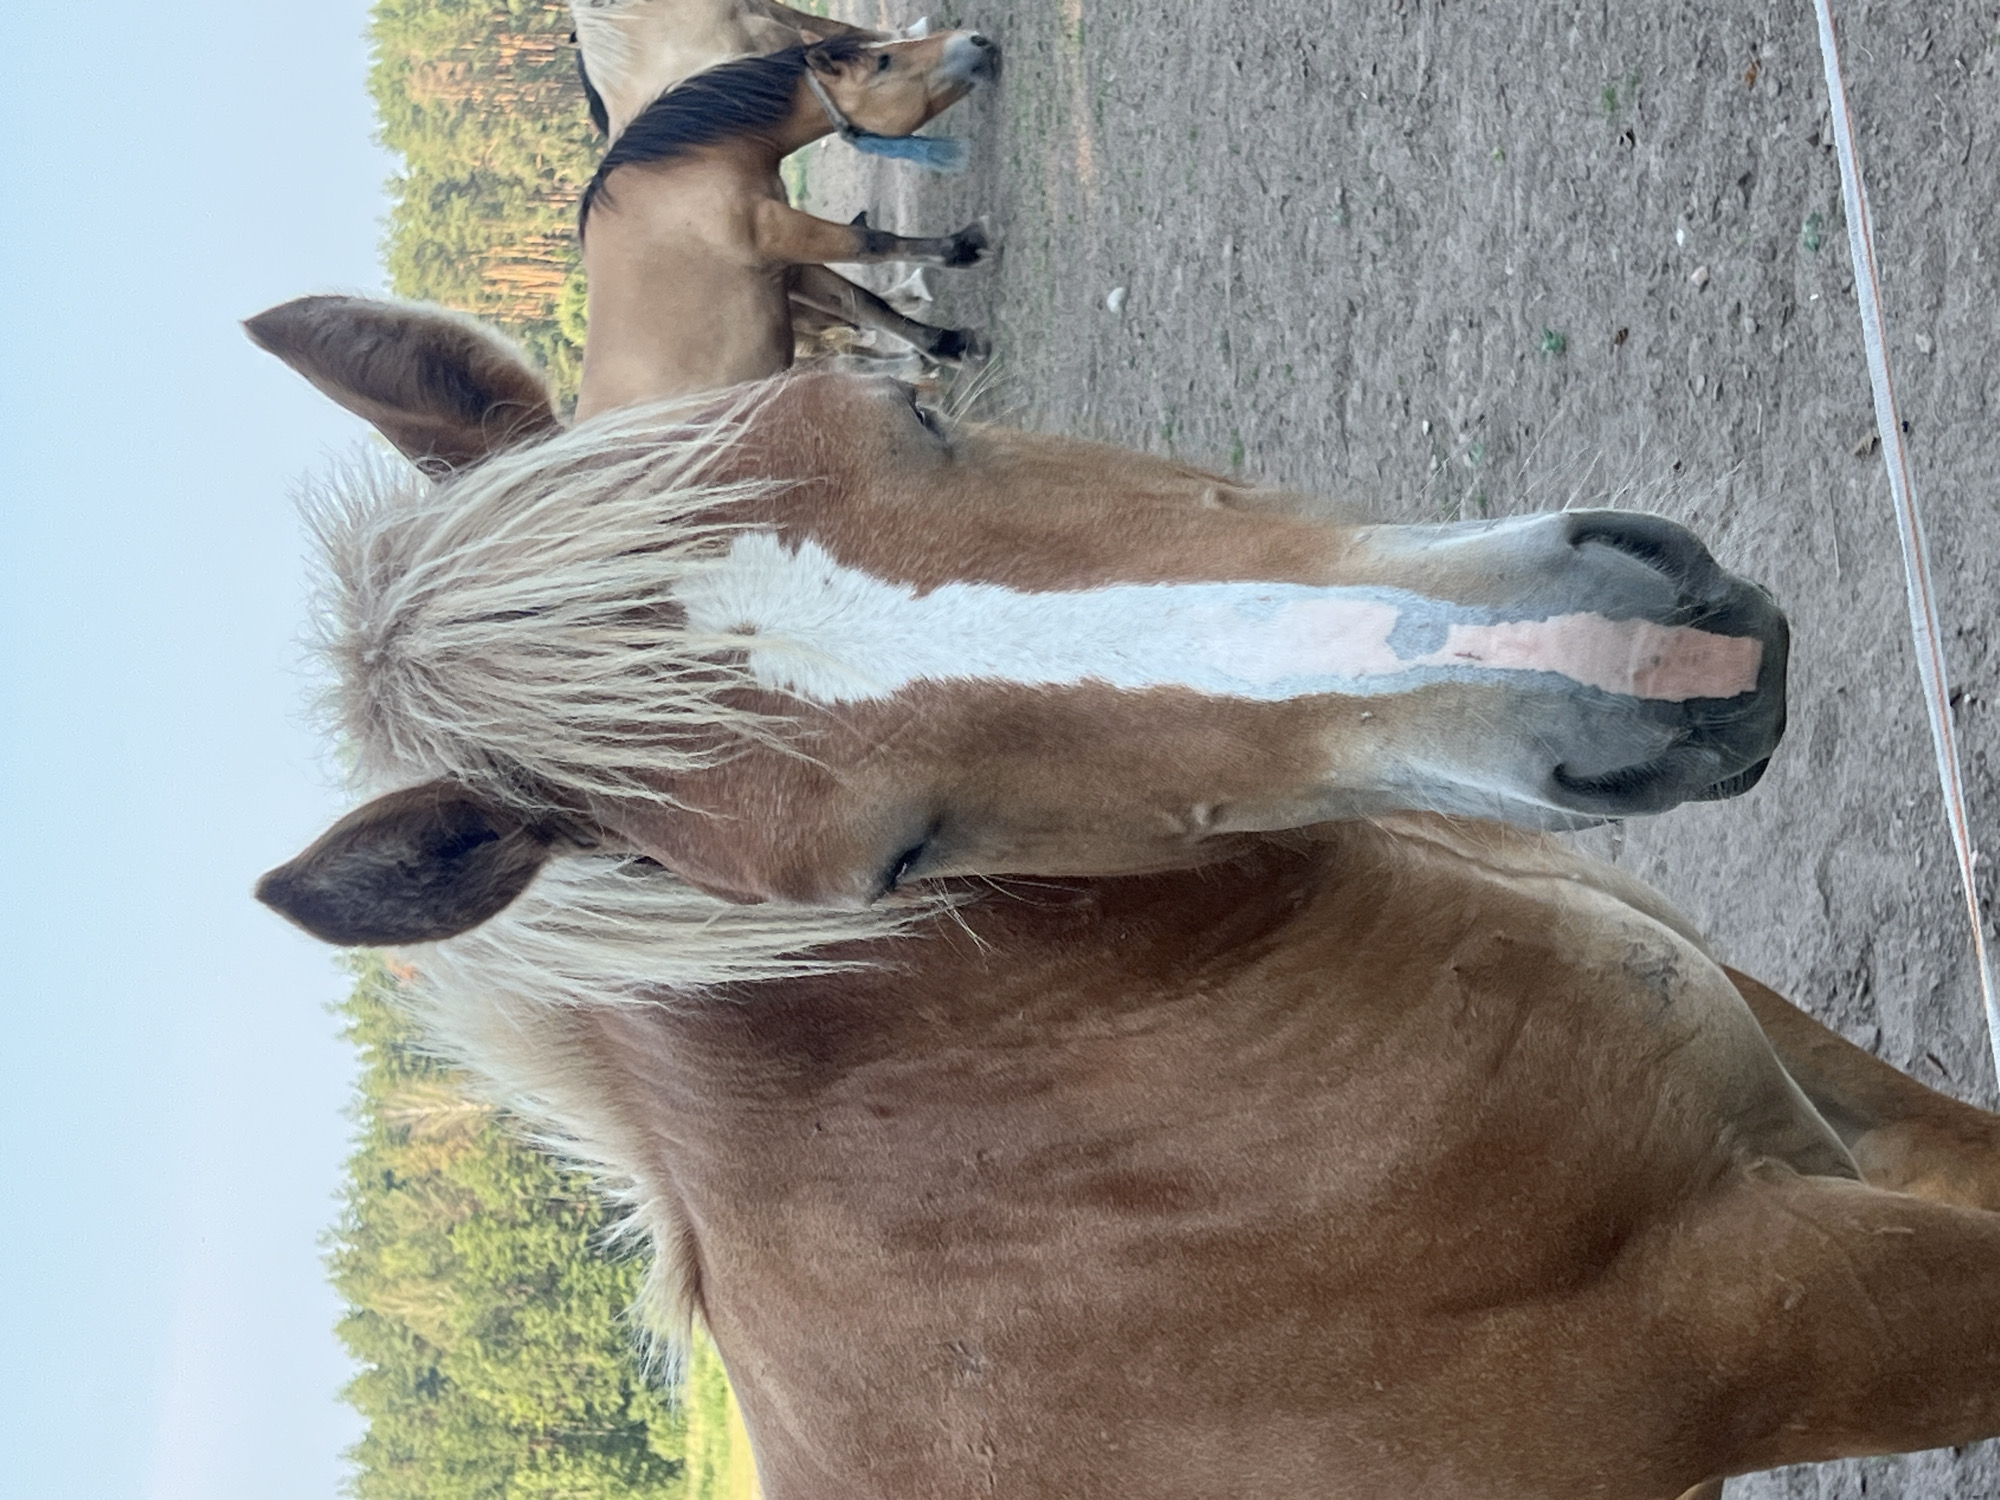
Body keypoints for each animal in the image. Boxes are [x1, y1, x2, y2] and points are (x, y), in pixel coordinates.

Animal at [573, 31, 998, 418]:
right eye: (884, 61)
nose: (979, 41)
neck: (677, 175)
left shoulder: (786, 266)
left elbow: (864, 302)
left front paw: (954, 345)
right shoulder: (781, 231)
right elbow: (872, 243)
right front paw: (968, 244)